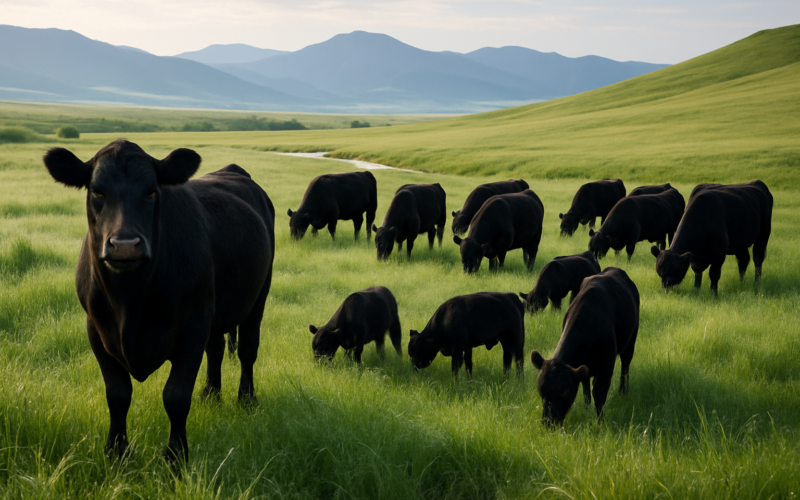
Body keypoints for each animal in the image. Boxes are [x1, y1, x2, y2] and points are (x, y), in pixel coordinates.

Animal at [42, 140, 275, 464]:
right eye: (97, 191)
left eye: (151, 191)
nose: (125, 245)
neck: (131, 302)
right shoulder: (96, 331)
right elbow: (117, 394)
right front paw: (117, 452)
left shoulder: (192, 330)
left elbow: (175, 397)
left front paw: (175, 458)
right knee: (216, 348)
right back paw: (211, 395)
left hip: (258, 295)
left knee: (247, 350)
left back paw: (246, 399)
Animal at [530, 267, 639, 426]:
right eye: (540, 391)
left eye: (564, 392)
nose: (549, 422)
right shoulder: (583, 366)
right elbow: (586, 390)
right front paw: (586, 410)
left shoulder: (606, 366)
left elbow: (599, 393)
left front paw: (601, 422)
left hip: (630, 342)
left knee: (625, 367)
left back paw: (623, 391)